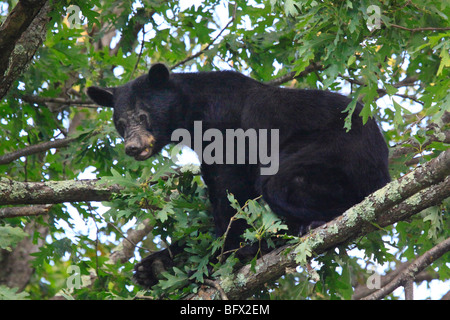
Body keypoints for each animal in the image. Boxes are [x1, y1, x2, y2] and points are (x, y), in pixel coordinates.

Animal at [87, 64, 390, 288]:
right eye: (120, 123)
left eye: (143, 115)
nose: (133, 146)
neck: (194, 113)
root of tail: (383, 172)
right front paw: (154, 266)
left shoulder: (225, 131)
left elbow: (232, 194)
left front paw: (219, 259)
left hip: (335, 154)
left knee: (281, 184)